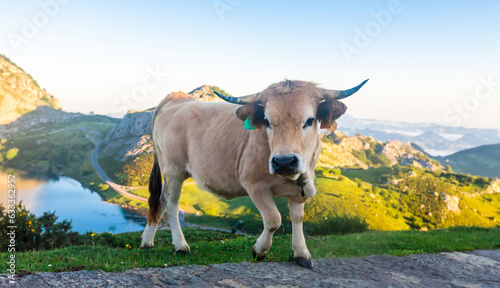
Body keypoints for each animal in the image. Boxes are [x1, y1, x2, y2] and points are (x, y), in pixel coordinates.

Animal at [141, 78, 368, 268]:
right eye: (267, 121)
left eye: (309, 120)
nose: (284, 162)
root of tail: (175, 97)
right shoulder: (254, 184)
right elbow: (274, 219)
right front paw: (260, 250)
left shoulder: (300, 189)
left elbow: (297, 218)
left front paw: (302, 253)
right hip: (173, 168)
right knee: (171, 202)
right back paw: (180, 245)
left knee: (160, 199)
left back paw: (147, 241)